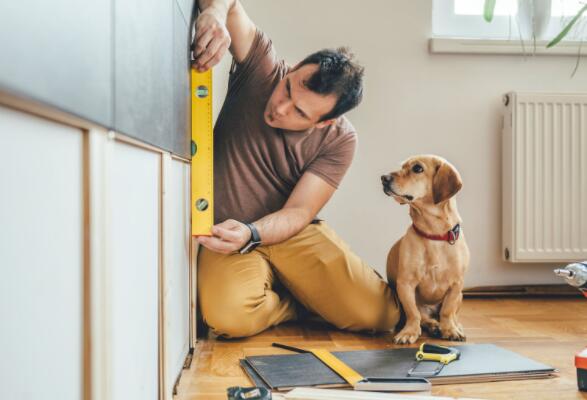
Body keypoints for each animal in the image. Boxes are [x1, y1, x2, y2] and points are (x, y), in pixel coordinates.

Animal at [384, 155, 470, 346]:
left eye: (417, 168)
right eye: (402, 167)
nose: (383, 178)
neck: (434, 235)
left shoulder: (456, 285)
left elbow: (447, 311)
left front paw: (450, 330)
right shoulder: (406, 284)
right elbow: (413, 313)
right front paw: (409, 332)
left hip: (460, 296)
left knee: (451, 314)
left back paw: (453, 326)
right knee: (424, 318)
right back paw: (433, 325)